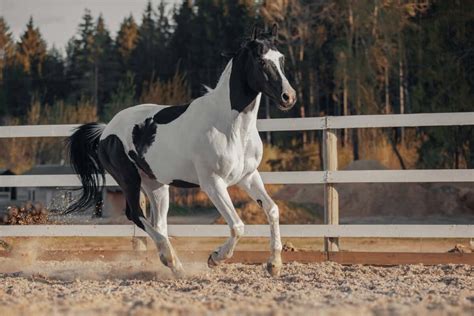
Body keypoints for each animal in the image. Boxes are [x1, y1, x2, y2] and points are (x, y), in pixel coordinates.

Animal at [66, 25, 296, 276]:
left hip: (155, 184)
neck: (229, 126)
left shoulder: (248, 176)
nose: (288, 97)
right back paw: (173, 262)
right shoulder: (213, 183)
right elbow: (237, 226)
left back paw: (173, 265)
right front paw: (215, 258)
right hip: (129, 179)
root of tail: (105, 131)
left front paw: (274, 264)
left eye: (281, 58)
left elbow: (272, 210)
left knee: (158, 223)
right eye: (261, 61)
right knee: (135, 214)